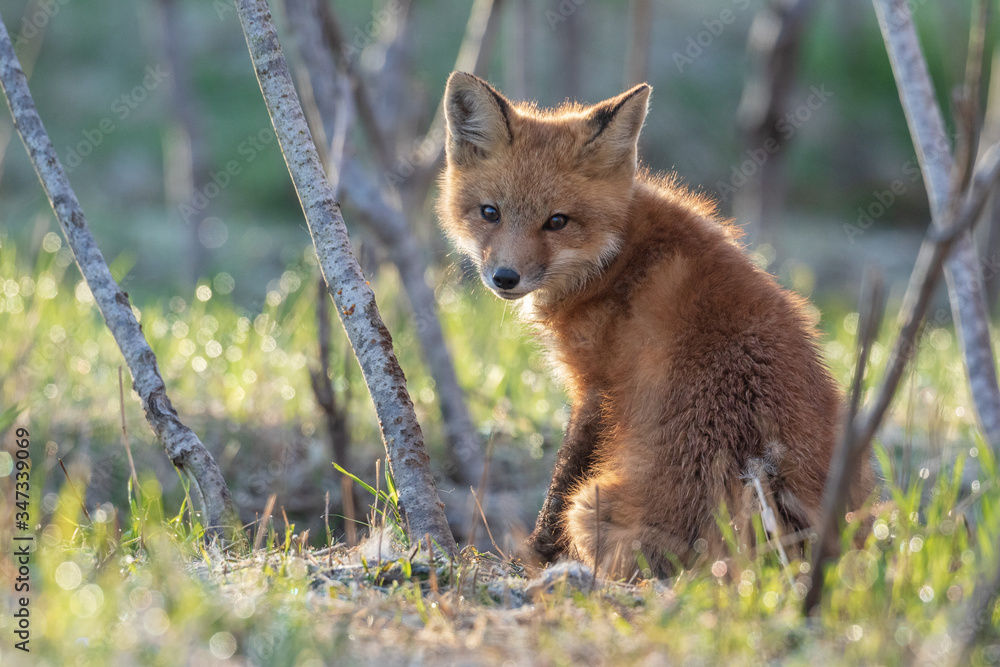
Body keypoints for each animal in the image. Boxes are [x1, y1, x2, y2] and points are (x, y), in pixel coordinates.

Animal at [436, 71, 876, 579]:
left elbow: (560, 482)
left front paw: (535, 555)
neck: (615, 258)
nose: (505, 278)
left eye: (557, 222)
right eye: (490, 213)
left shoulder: (595, 387)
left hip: (591, 506)